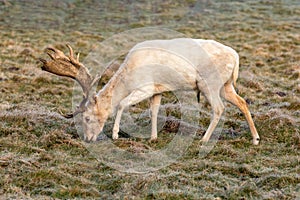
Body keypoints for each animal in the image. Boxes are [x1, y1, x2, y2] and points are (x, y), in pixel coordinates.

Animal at [39, 38, 260, 145]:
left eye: (86, 117)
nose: (87, 138)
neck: (129, 75)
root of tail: (236, 57)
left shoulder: (145, 86)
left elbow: (121, 103)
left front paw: (116, 134)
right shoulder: (157, 89)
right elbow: (154, 110)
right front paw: (153, 137)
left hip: (210, 84)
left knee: (219, 108)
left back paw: (204, 139)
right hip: (226, 85)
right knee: (242, 101)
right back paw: (255, 139)